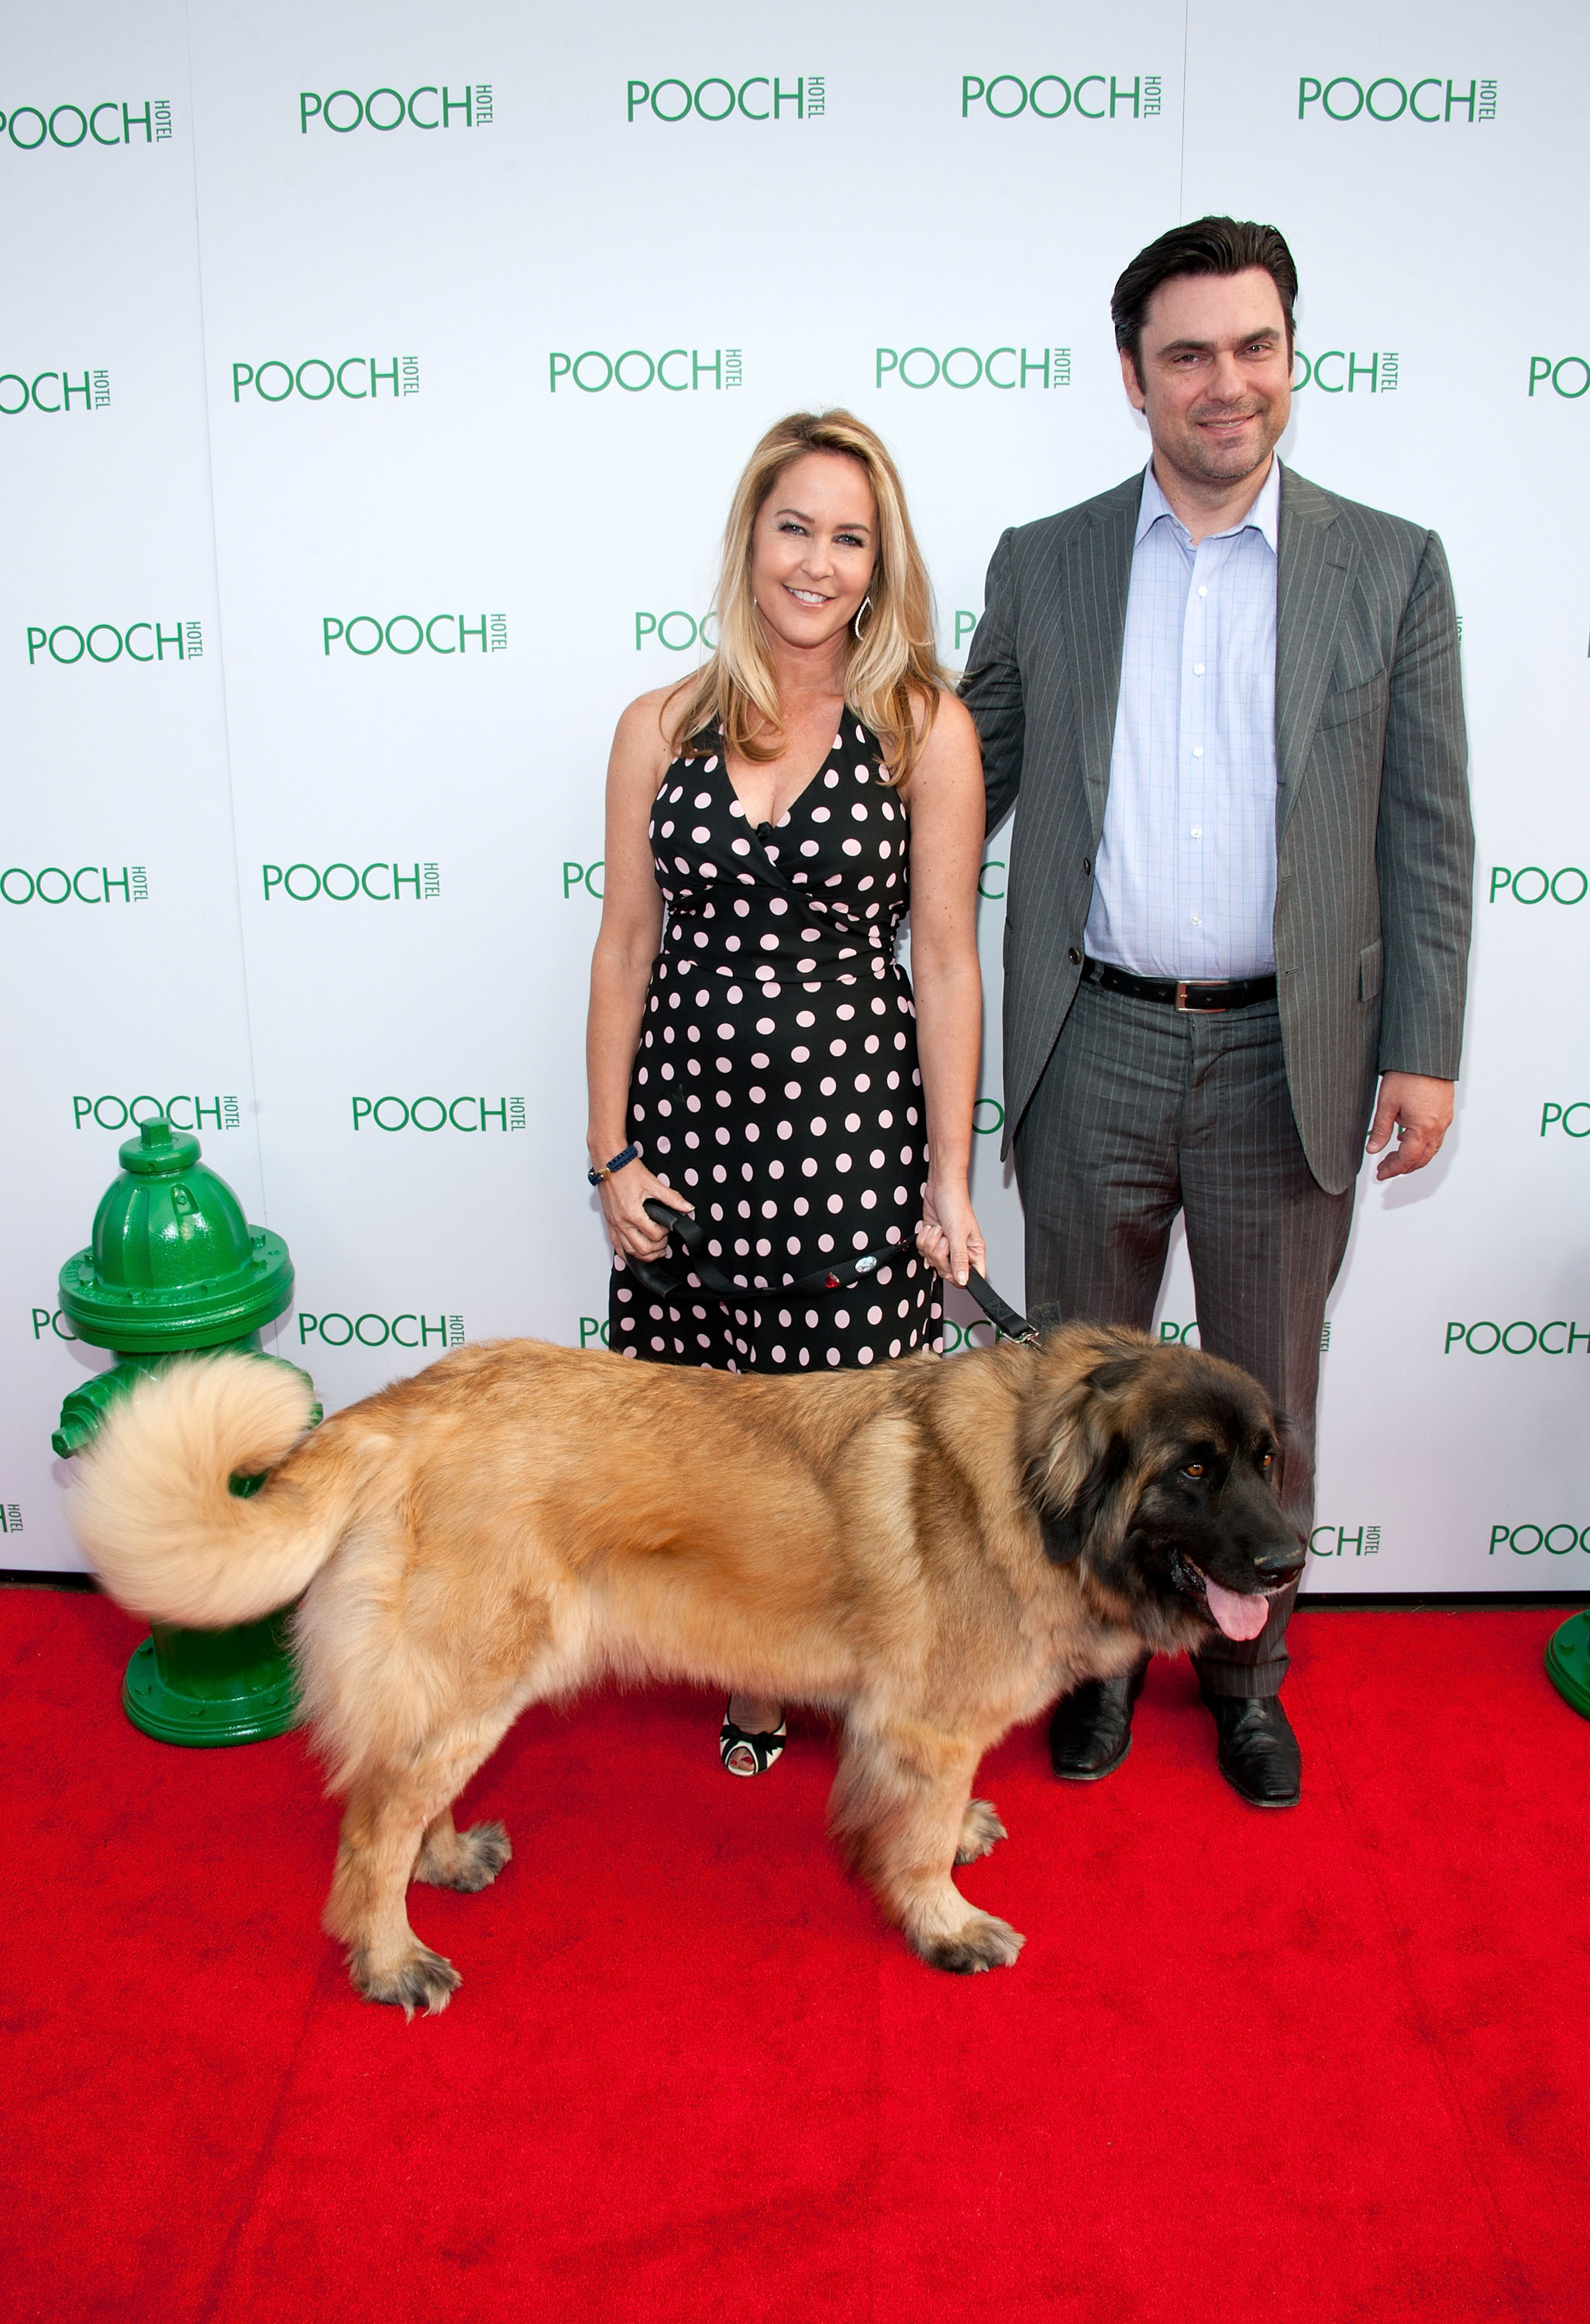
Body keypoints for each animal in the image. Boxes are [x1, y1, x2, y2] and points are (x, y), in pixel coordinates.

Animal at [71, 1329, 1302, 2017]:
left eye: (1263, 1459)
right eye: (1192, 1472)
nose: (1292, 1561)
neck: (1041, 1489)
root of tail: (406, 1408)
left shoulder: (914, 1728)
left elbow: (924, 1815)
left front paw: (956, 1842)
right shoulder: (930, 1725)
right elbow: (912, 1841)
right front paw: (945, 1923)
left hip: (462, 1689)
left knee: (404, 1798)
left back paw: (450, 1859)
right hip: (474, 1675)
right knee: (371, 1828)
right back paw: (389, 1959)